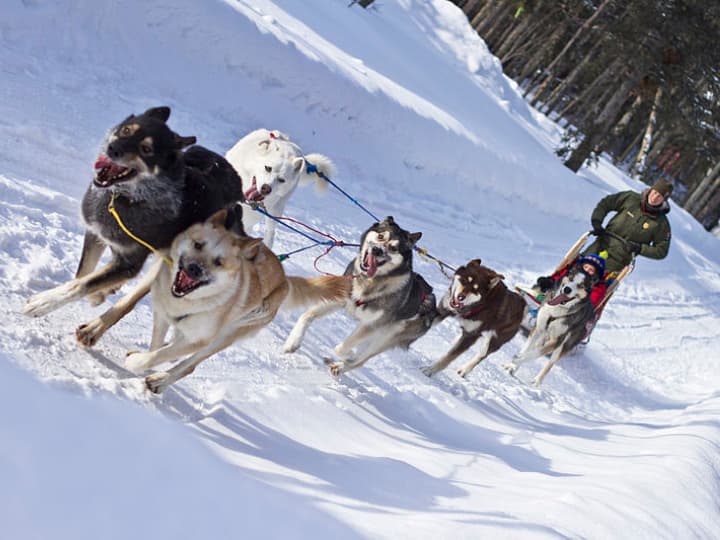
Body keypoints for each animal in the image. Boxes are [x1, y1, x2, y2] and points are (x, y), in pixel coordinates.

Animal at [23, 106, 245, 346]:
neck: (128, 197)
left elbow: (82, 283)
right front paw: (97, 292)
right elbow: (84, 274)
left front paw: (45, 302)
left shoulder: (130, 263)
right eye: (127, 130)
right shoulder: (95, 234)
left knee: (130, 301)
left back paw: (95, 328)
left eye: (146, 149)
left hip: (172, 264)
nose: (113, 149)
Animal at [124, 205, 352, 394]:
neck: (185, 303)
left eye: (218, 262)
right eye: (198, 245)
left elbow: (157, 355)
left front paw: (136, 363)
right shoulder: (163, 315)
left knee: (190, 365)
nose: (195, 269)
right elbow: (156, 347)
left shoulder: (199, 340)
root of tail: (284, 280)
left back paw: (160, 381)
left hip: (226, 336)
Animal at [284, 215, 436, 376]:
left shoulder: (370, 326)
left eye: (394, 248)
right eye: (381, 236)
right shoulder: (339, 298)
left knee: (361, 360)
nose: (377, 250)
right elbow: (306, 316)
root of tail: (433, 305)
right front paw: (293, 341)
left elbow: (342, 348)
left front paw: (348, 354)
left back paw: (342, 365)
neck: (370, 280)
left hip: (383, 338)